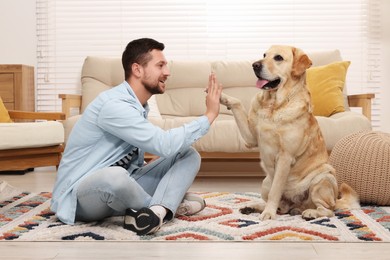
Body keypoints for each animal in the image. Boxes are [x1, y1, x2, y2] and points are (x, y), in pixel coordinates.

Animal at [219, 45, 360, 220]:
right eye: (264, 55)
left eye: (278, 58)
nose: (254, 65)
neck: (274, 105)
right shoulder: (251, 138)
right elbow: (237, 103)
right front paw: (221, 96)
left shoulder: (285, 157)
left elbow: (276, 191)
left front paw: (268, 214)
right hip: (265, 182)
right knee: (283, 206)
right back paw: (255, 207)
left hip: (322, 178)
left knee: (328, 210)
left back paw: (309, 212)